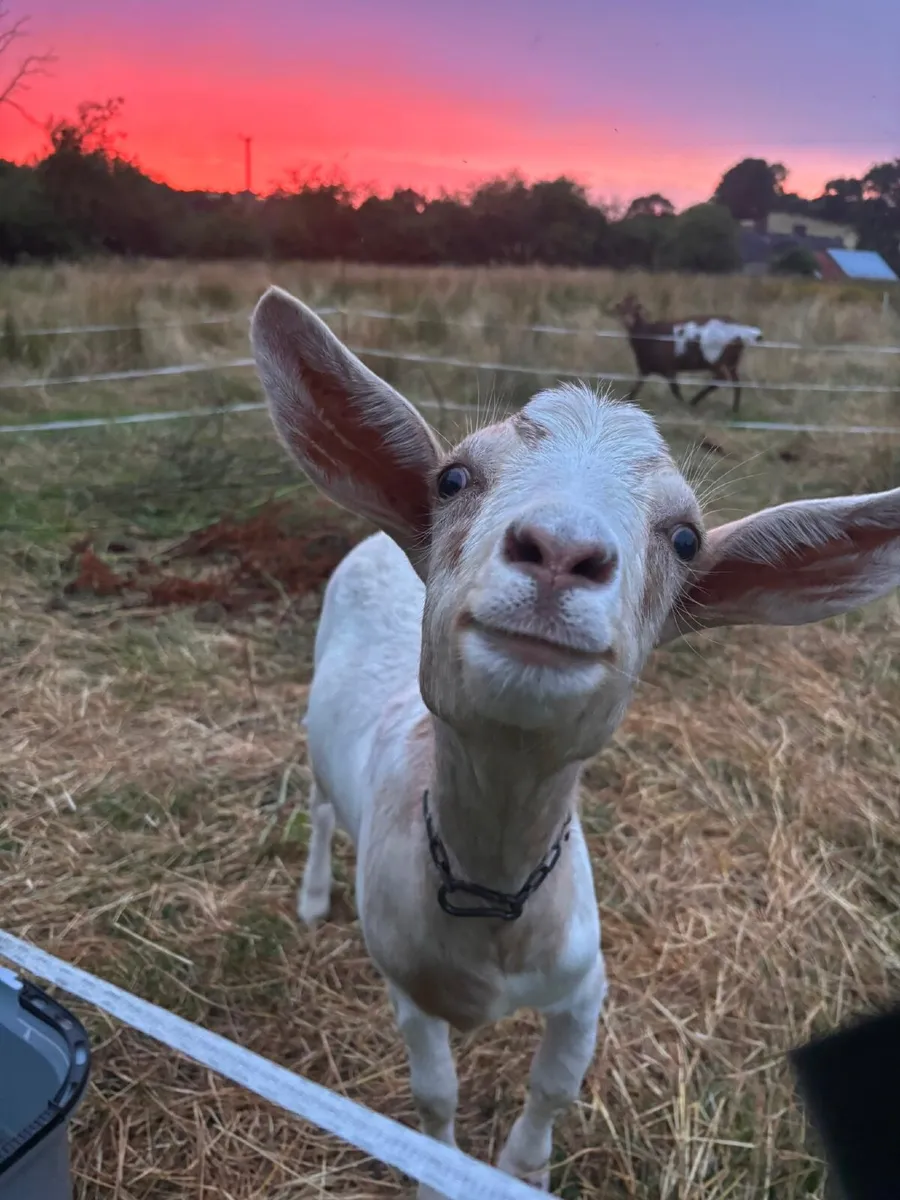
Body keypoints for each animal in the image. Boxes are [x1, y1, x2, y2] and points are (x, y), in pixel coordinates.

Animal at [612, 293, 763, 413]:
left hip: (714, 358)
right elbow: (634, 390)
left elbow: (675, 389)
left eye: (636, 310)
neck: (648, 335)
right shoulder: (645, 369)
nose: (628, 321)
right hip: (732, 361)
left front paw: (682, 406)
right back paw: (734, 409)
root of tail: (741, 332)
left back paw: (693, 401)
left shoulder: (668, 368)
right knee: (737, 383)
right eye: (621, 309)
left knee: (721, 378)